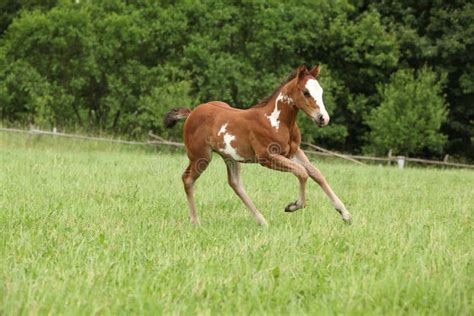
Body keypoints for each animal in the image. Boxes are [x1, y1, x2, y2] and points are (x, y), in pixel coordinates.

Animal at [164, 65, 352, 226]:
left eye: (321, 91)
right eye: (305, 92)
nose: (323, 118)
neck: (276, 121)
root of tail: (191, 113)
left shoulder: (294, 152)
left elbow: (316, 173)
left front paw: (345, 214)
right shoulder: (267, 158)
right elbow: (302, 172)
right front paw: (293, 205)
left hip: (230, 157)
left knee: (235, 184)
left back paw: (262, 221)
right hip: (201, 156)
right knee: (188, 179)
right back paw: (195, 222)